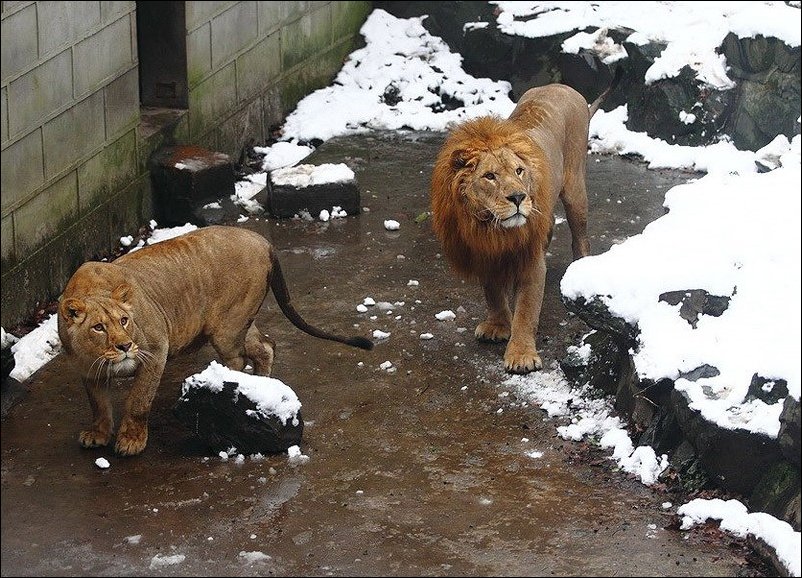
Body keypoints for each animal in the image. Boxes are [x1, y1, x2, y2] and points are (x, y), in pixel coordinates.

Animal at [58, 225, 372, 454]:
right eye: (98, 327)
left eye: (124, 320)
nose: (124, 346)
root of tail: (262, 241)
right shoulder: (87, 370)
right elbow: (99, 404)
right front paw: (98, 434)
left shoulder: (156, 350)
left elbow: (139, 401)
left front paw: (132, 441)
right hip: (242, 319)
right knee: (265, 347)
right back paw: (263, 386)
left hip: (226, 326)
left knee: (237, 359)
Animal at [432, 79, 612, 372]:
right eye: (489, 176)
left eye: (519, 171)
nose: (518, 197)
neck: (493, 228)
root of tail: (564, 87)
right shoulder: (484, 251)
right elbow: (493, 293)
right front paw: (498, 325)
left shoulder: (531, 261)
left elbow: (526, 311)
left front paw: (521, 355)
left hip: (575, 188)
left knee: (581, 239)